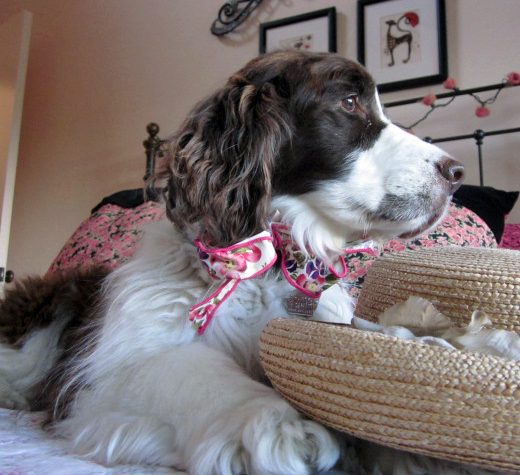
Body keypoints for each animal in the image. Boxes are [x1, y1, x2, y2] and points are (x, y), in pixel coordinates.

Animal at [0, 50, 464, 474]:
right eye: (350, 102)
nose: (456, 172)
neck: (271, 265)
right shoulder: (104, 374)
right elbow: (191, 365)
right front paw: (278, 423)